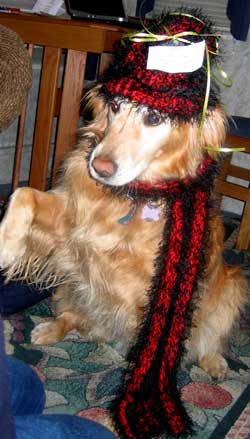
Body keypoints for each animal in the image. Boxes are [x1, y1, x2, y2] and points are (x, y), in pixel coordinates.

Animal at [0, 85, 246, 378]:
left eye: (154, 118)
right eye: (115, 106)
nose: (99, 167)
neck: (130, 197)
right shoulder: (71, 219)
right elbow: (23, 192)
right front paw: (7, 244)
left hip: (233, 286)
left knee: (209, 340)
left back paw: (214, 362)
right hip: (70, 288)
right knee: (73, 317)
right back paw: (51, 328)